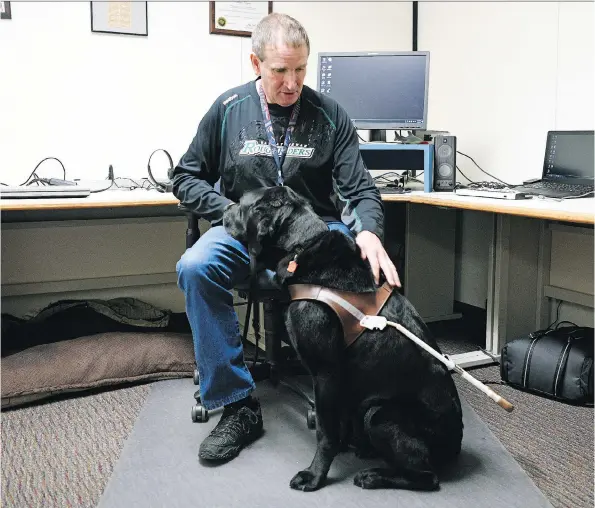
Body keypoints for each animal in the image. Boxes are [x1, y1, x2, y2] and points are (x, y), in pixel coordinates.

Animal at [224, 187, 466, 492]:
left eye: (240, 203)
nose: (223, 210)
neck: (302, 245)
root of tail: (455, 445)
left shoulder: (325, 374)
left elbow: (325, 433)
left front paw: (315, 475)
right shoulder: (344, 381)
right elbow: (340, 422)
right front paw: (347, 445)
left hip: (379, 413)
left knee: (427, 477)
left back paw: (373, 475)